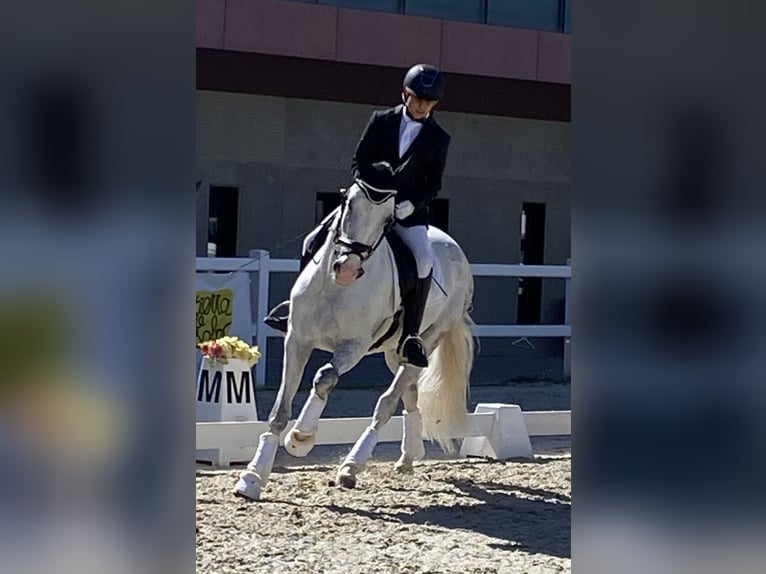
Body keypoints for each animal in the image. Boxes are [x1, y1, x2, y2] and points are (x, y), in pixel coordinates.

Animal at [234, 182, 474, 502]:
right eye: (348, 204)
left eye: (387, 221)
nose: (346, 268)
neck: (335, 288)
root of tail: (454, 248)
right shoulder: (297, 340)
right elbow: (279, 411)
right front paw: (253, 477)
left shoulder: (353, 347)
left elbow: (325, 377)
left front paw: (301, 438)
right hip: (396, 353)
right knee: (409, 394)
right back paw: (408, 458)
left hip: (431, 336)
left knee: (386, 402)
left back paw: (351, 467)